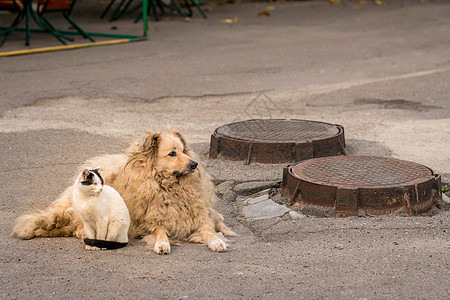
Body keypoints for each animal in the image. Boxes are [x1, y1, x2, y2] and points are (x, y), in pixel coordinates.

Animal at [11, 130, 236, 254]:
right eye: (172, 153)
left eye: (183, 151)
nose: (194, 164)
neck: (170, 187)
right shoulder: (151, 222)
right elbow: (160, 232)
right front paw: (162, 244)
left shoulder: (199, 218)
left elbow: (209, 231)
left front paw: (217, 241)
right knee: (72, 226)